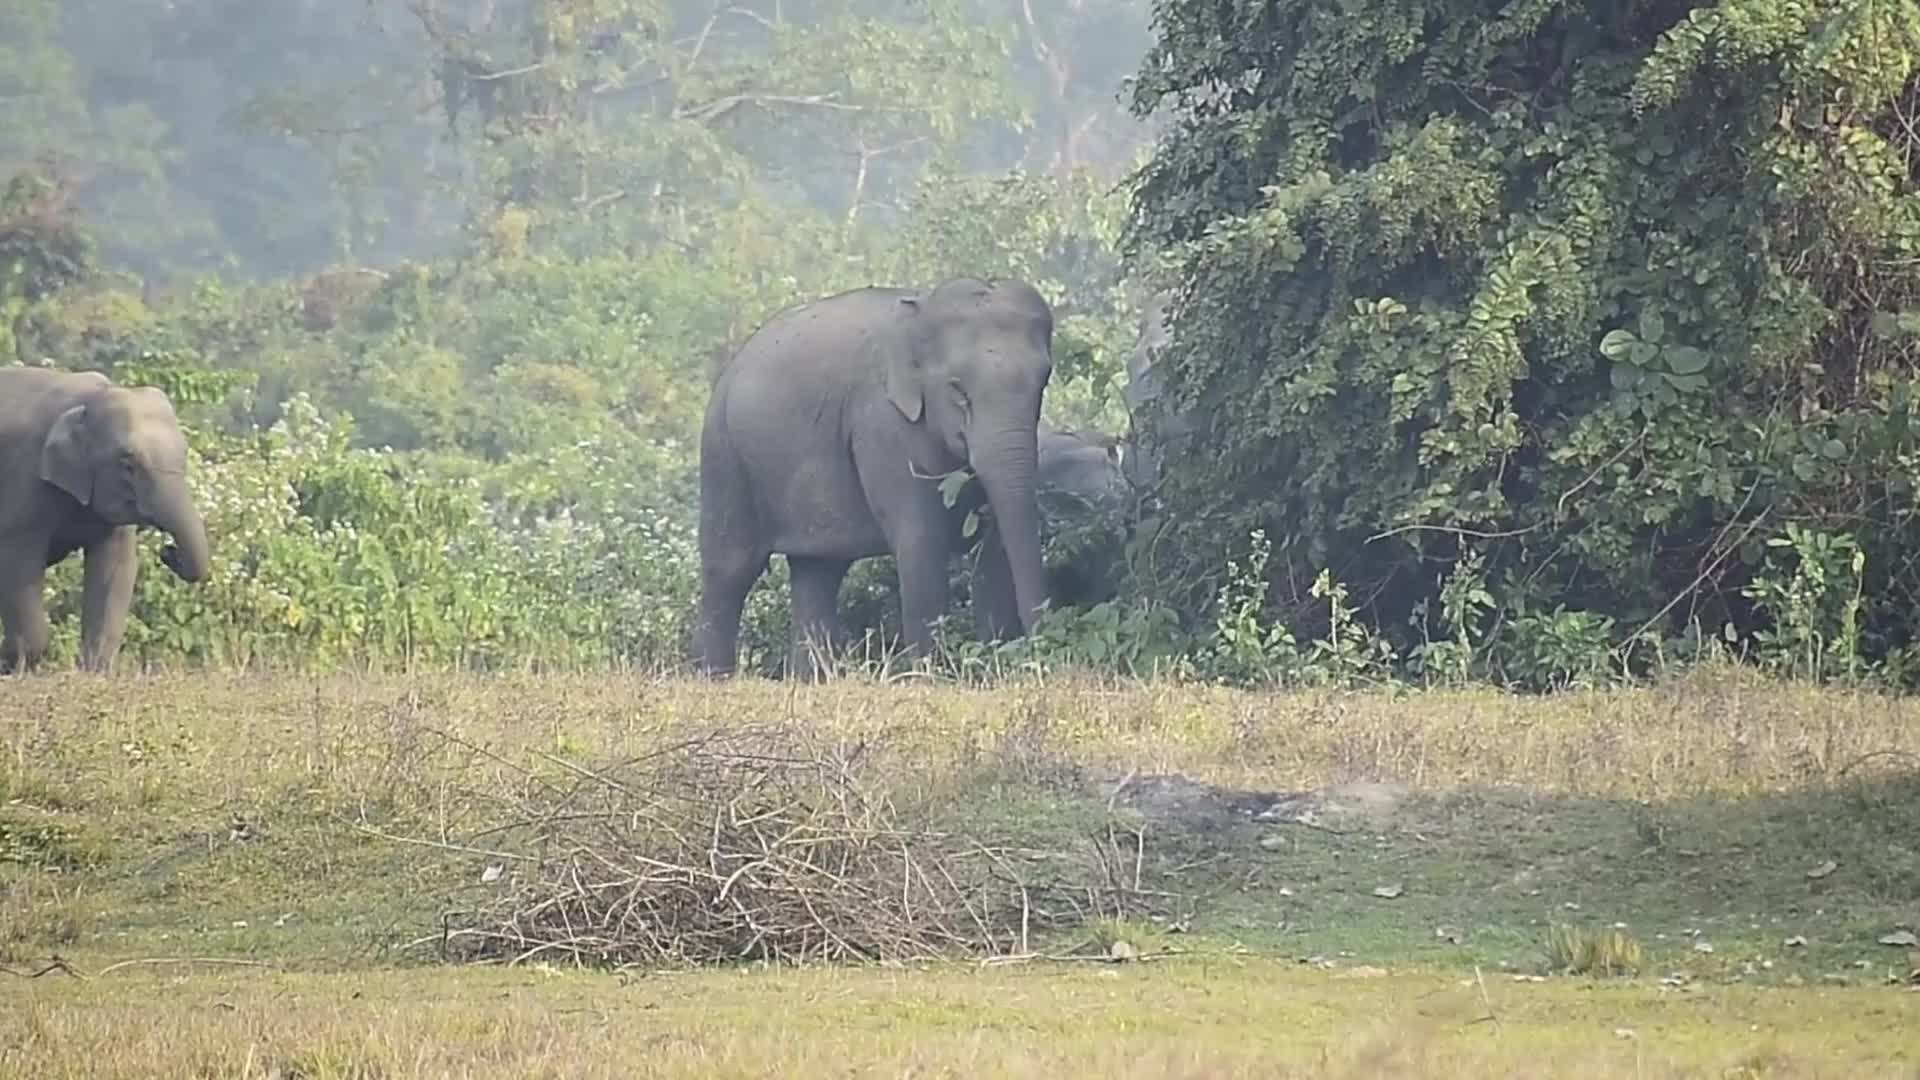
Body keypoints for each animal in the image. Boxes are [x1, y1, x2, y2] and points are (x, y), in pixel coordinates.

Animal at [0, 368, 212, 674]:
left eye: (184, 454)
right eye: (127, 464)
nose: (168, 551)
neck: (88, 397)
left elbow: (116, 565)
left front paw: (96, 669)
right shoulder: (24, 477)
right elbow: (18, 567)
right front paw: (17, 664)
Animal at [694, 276, 1056, 676]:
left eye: (1043, 382)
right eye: (958, 390)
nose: (1041, 652)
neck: (920, 313)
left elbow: (992, 545)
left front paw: (996, 667)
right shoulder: (881, 423)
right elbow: (921, 538)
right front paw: (930, 675)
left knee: (818, 572)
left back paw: (812, 679)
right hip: (724, 454)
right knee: (731, 568)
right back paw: (715, 677)